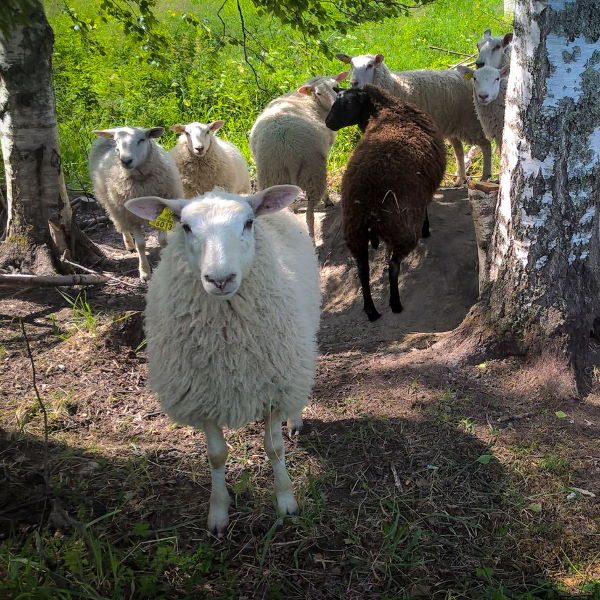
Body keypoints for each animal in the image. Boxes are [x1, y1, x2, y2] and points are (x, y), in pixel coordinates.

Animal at [88, 126, 183, 282]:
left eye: (141, 140)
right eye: (117, 142)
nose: (126, 161)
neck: (142, 181)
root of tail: (116, 127)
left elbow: (163, 240)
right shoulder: (132, 217)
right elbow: (141, 245)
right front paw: (144, 272)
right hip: (113, 204)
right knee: (121, 224)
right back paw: (129, 244)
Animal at [125, 184, 322, 536]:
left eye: (248, 222)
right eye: (185, 227)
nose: (220, 279)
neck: (229, 348)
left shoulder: (274, 388)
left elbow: (274, 449)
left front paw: (286, 500)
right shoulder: (203, 397)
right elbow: (216, 456)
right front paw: (218, 512)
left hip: (299, 348)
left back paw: (295, 420)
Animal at [250, 72, 346, 237]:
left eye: (336, 87)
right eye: (319, 93)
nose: (336, 103)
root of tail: (287, 149)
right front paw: (328, 201)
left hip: (274, 176)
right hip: (312, 171)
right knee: (310, 215)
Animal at [324, 83, 446, 324]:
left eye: (347, 103)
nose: (327, 123)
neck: (388, 110)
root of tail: (366, 202)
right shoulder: (421, 194)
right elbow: (427, 210)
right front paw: (426, 229)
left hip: (354, 230)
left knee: (363, 271)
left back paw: (371, 311)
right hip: (400, 225)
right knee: (392, 265)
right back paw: (395, 303)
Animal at [338, 52, 492, 184]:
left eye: (370, 66)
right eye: (351, 65)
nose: (353, 82)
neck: (395, 85)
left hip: (470, 121)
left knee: (486, 144)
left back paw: (485, 176)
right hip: (452, 123)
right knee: (459, 151)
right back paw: (460, 179)